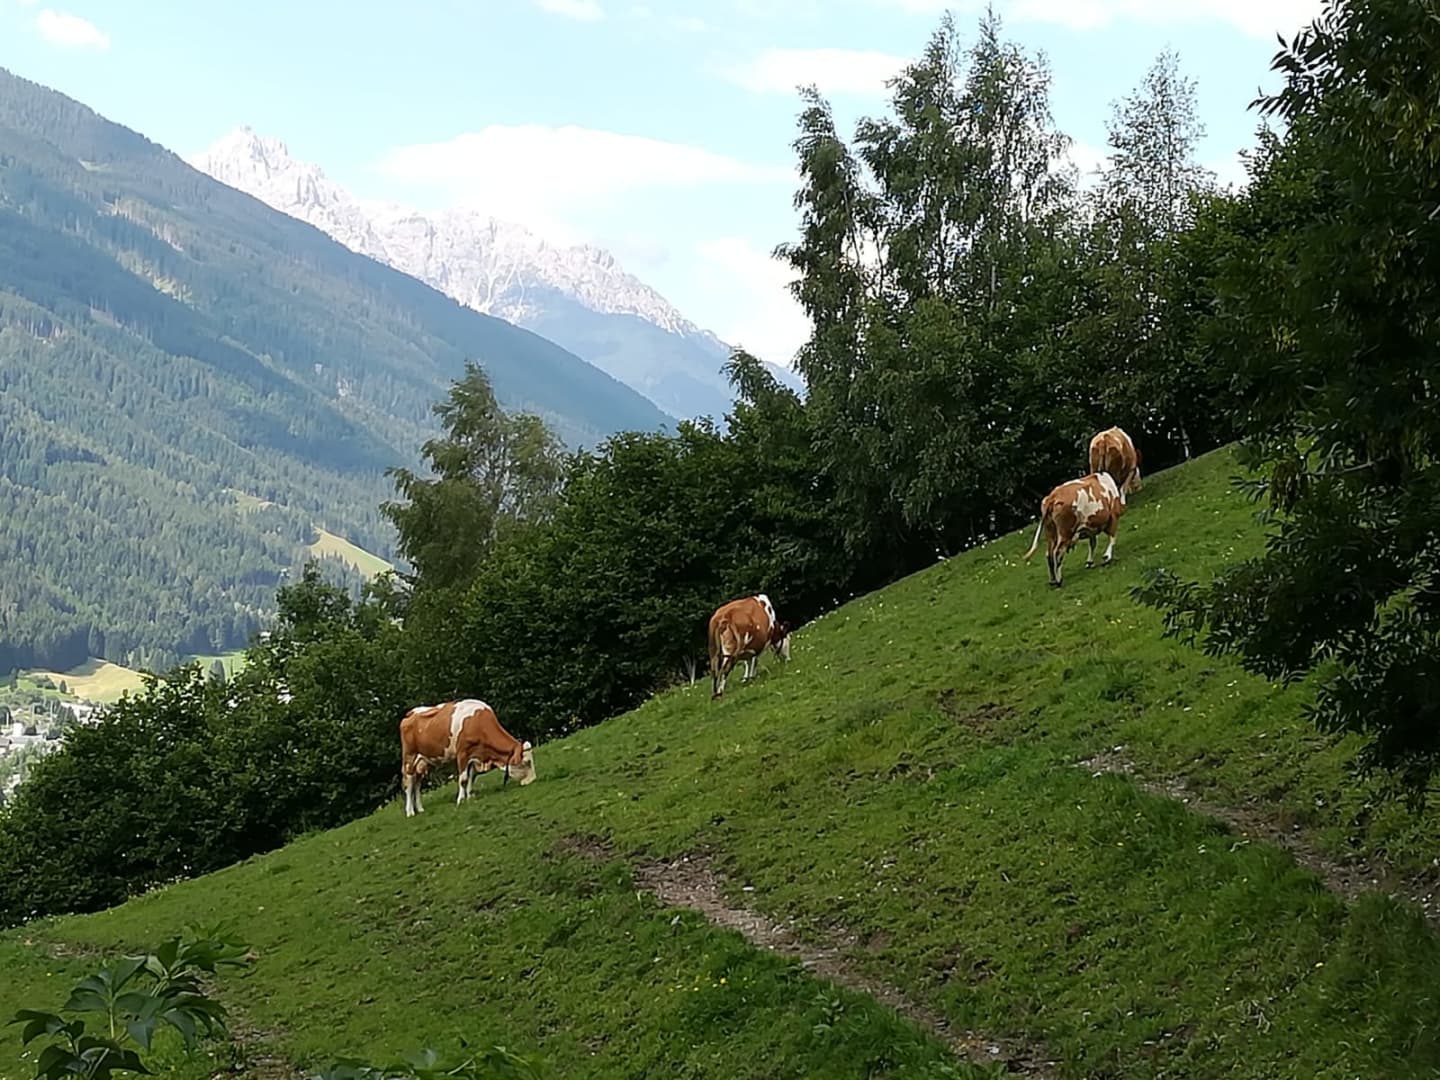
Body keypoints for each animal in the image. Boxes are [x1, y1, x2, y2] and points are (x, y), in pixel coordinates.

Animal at [399, 699, 535, 817]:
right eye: (527, 762)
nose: (533, 780)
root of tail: (411, 713)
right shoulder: (463, 753)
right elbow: (463, 779)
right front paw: (460, 800)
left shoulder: (474, 756)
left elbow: (472, 776)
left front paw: (469, 796)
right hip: (409, 759)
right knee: (409, 784)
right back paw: (410, 812)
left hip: (422, 762)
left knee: (417, 785)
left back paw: (420, 809)